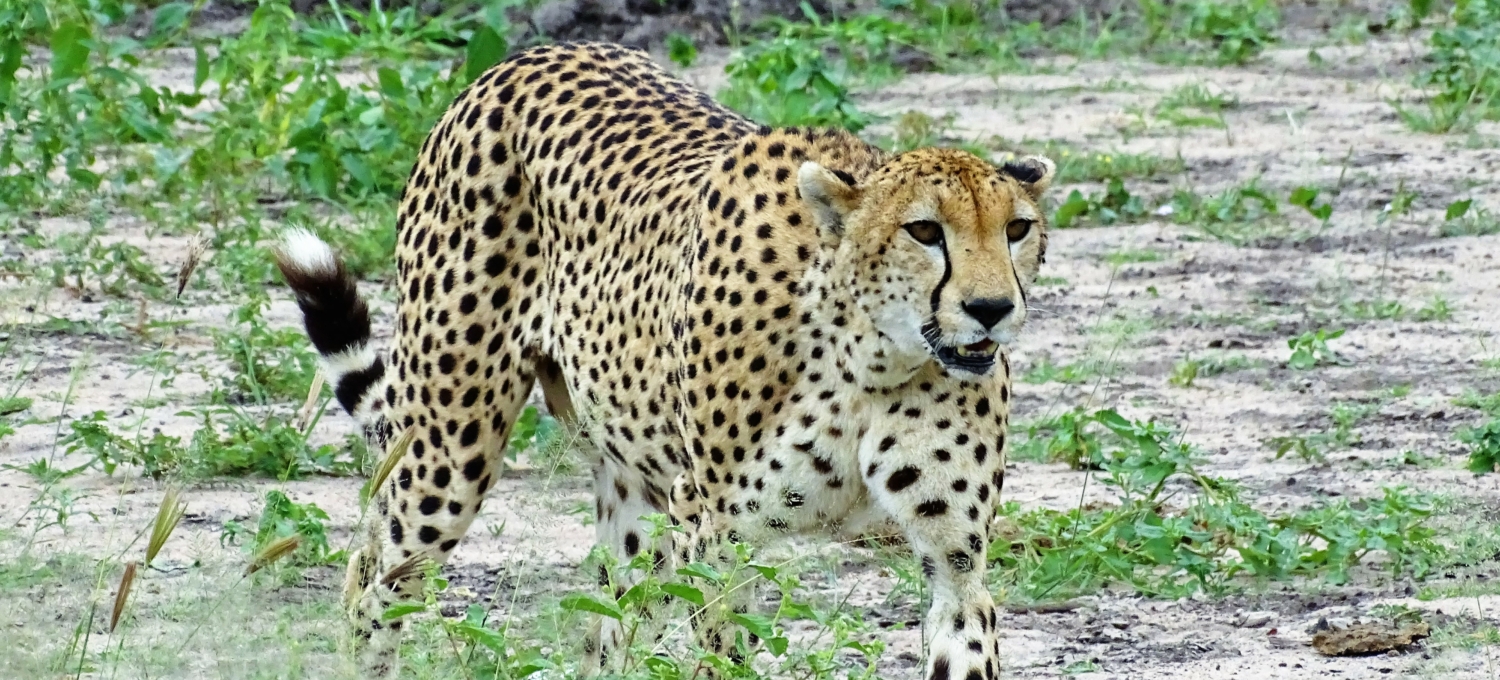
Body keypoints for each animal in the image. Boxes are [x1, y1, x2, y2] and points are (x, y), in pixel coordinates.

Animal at [279, 41, 1056, 672]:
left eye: (1017, 228)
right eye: (924, 231)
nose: (992, 308)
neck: (871, 357)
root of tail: (524, 58)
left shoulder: (955, 560)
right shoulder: (713, 532)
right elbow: (723, 651)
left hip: (633, 498)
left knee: (611, 628)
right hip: (448, 452)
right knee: (372, 573)